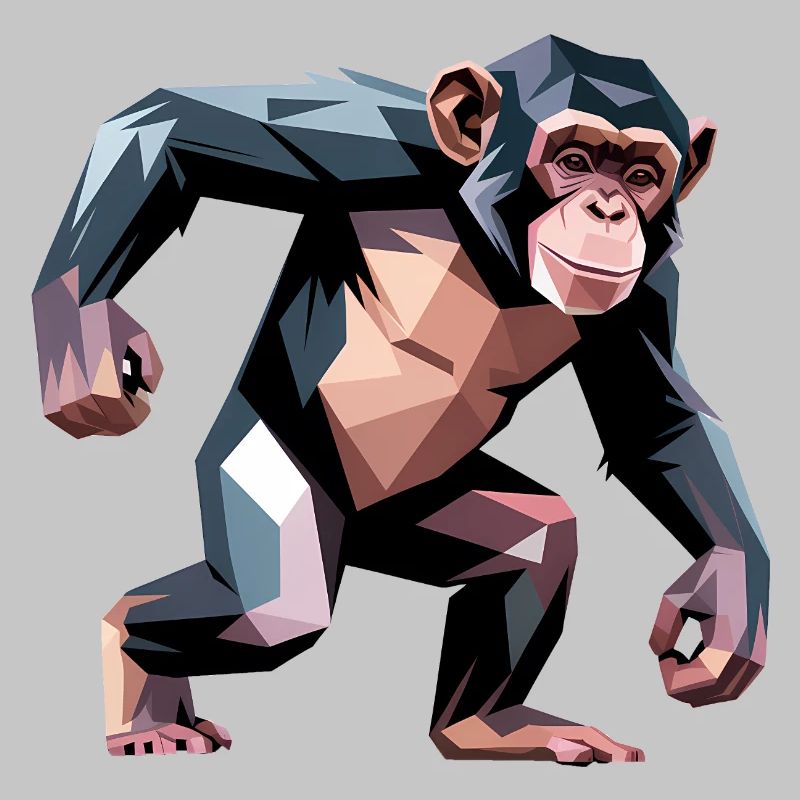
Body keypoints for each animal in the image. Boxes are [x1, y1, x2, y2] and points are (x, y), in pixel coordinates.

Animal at [32, 35, 769, 763]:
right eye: (574, 161)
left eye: (642, 177)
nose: (610, 210)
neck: (495, 252)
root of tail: (361, 533)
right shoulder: (377, 142)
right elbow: (177, 130)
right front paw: (86, 339)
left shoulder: (649, 285)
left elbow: (656, 421)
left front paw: (726, 602)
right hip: (274, 469)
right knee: (271, 614)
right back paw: (137, 678)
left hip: (425, 513)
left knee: (540, 542)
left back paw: (485, 726)